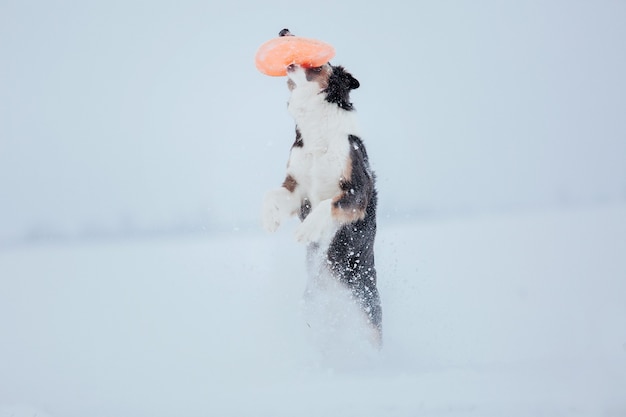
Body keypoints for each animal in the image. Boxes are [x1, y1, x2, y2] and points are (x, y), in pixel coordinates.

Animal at [258, 29, 380, 344]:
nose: (284, 30)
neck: (317, 131)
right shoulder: (296, 188)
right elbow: (271, 194)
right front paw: (270, 219)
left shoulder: (357, 191)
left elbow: (329, 204)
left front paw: (308, 229)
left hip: (365, 311)